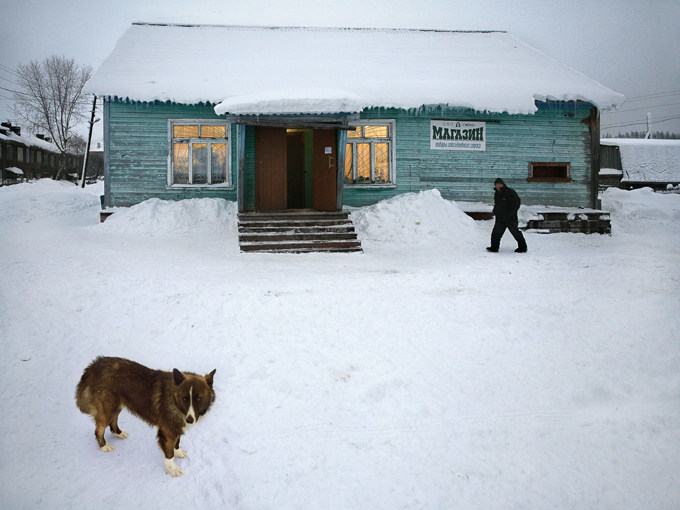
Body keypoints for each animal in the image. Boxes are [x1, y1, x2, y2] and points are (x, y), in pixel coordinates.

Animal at [75, 356, 216, 476]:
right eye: (185, 398)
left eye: (198, 399)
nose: (190, 420)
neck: (174, 400)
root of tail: (94, 365)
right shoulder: (168, 432)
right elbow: (169, 453)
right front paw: (172, 469)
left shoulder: (176, 428)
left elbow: (177, 443)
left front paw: (178, 452)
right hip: (107, 408)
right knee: (99, 430)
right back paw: (104, 446)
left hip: (116, 405)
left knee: (113, 421)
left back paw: (119, 433)